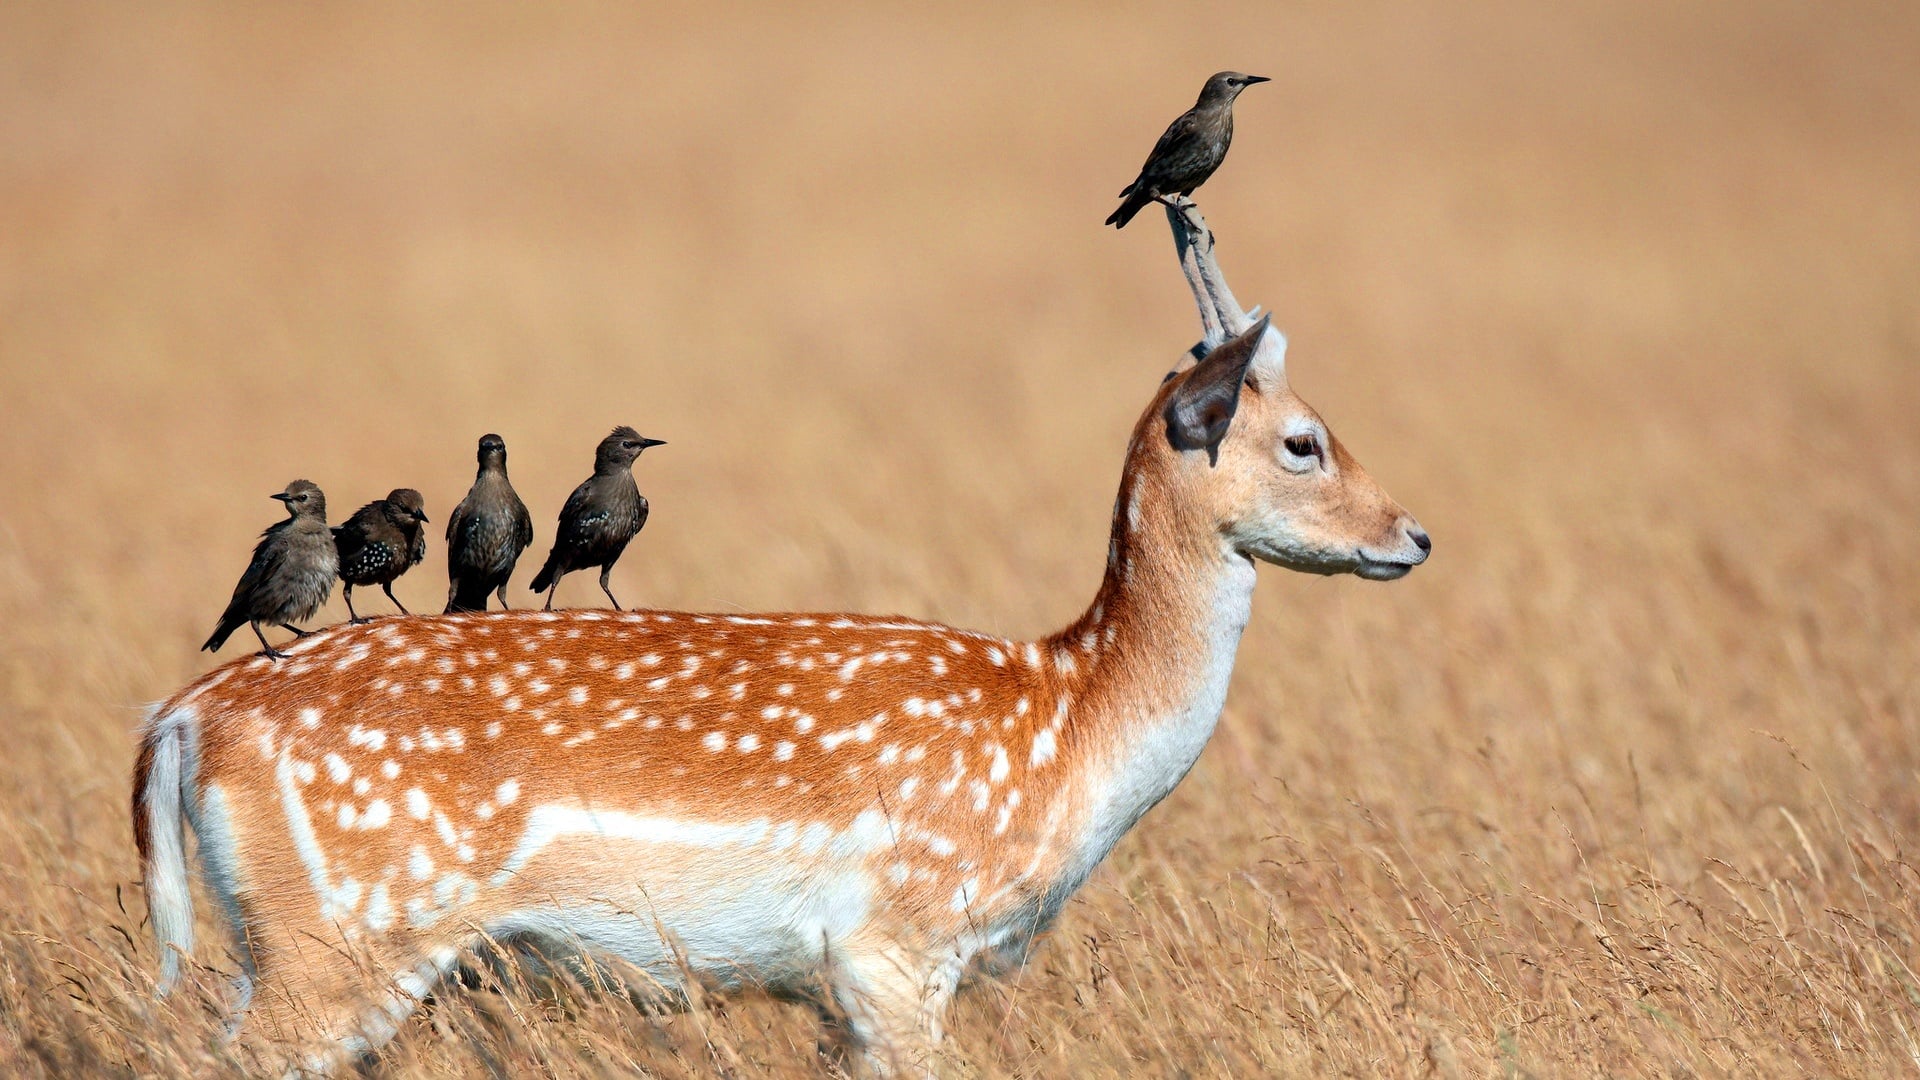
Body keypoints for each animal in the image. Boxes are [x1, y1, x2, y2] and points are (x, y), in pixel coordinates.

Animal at [132, 201, 1429, 1076]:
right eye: (1305, 441)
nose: (1412, 534)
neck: (1069, 722)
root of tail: (180, 724)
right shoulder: (897, 942)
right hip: (335, 936)